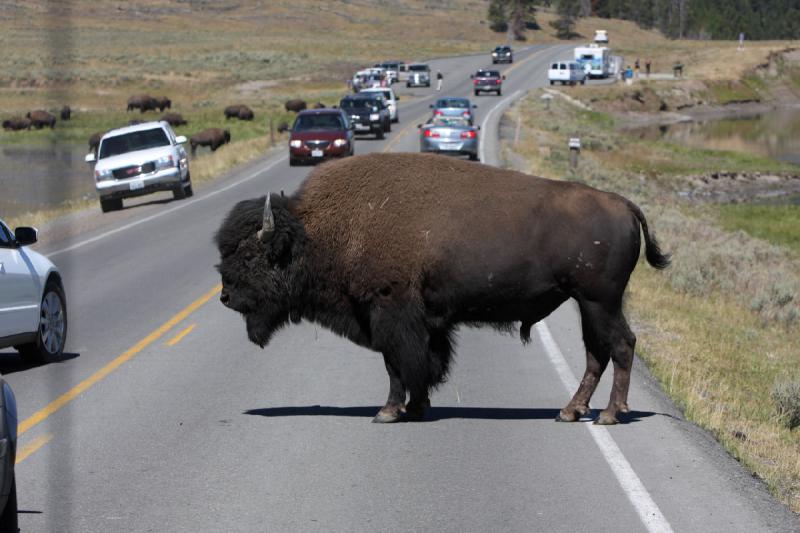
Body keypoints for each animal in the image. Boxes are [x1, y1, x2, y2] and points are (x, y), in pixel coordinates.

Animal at [216, 153, 672, 424]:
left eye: (251, 256)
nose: (225, 296)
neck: (317, 232)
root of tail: (624, 204)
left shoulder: (389, 311)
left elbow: (398, 364)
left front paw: (388, 411)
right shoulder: (424, 322)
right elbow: (423, 363)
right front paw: (417, 406)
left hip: (599, 301)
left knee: (621, 346)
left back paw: (609, 414)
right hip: (588, 304)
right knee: (598, 353)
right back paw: (571, 411)